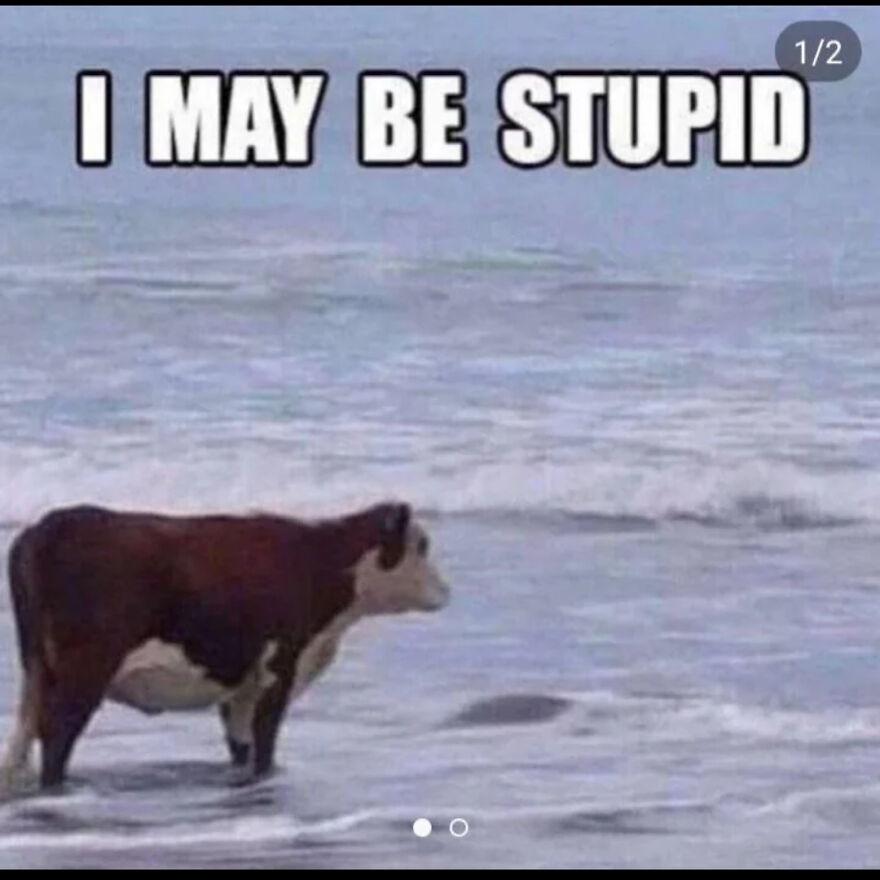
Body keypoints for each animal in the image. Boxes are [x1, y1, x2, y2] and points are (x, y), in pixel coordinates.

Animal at [0, 500, 449, 793]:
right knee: (57, 734)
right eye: (422, 545)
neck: (315, 563)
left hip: (36, 669)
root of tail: (47, 527)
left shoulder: (241, 684)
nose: (446, 591)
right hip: (86, 669)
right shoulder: (278, 668)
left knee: (25, 735)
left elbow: (241, 743)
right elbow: (264, 741)